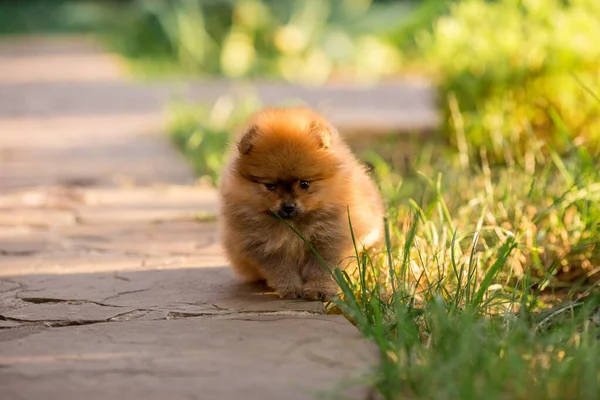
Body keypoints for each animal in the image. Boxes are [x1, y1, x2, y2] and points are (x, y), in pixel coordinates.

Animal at [220, 106, 384, 300]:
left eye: (304, 184)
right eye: (270, 185)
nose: (288, 207)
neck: (294, 226)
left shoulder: (329, 239)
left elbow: (322, 269)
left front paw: (318, 289)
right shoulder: (265, 245)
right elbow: (281, 270)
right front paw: (290, 289)